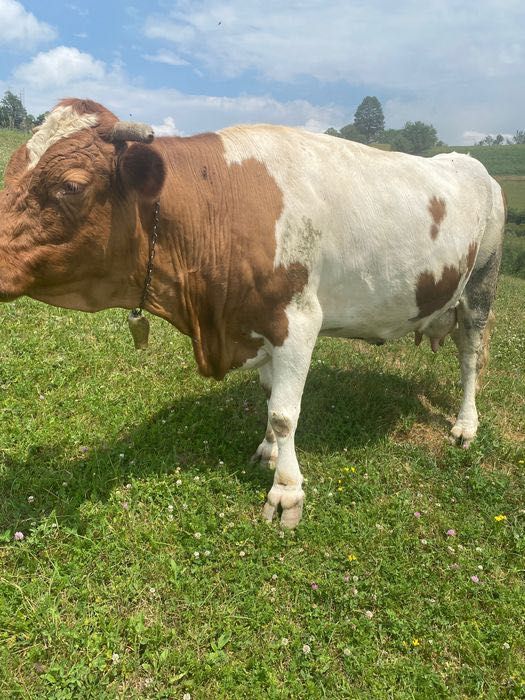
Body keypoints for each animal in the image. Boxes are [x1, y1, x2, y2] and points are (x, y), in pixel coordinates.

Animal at [0, 99, 505, 528]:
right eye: (12, 168)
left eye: (71, 185)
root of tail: (470, 163)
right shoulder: (254, 322)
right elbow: (268, 395)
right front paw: (268, 450)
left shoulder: (298, 320)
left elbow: (284, 411)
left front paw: (286, 491)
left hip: (480, 288)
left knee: (471, 359)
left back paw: (465, 425)